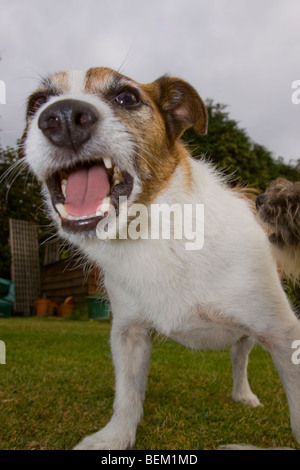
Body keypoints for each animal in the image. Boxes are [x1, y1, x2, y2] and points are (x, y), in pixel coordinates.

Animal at [20, 68, 300, 450]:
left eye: (127, 97)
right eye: (37, 102)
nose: (62, 118)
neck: (156, 232)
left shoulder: (284, 336)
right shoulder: (129, 333)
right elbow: (127, 395)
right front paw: (115, 438)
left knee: (238, 356)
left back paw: (243, 395)